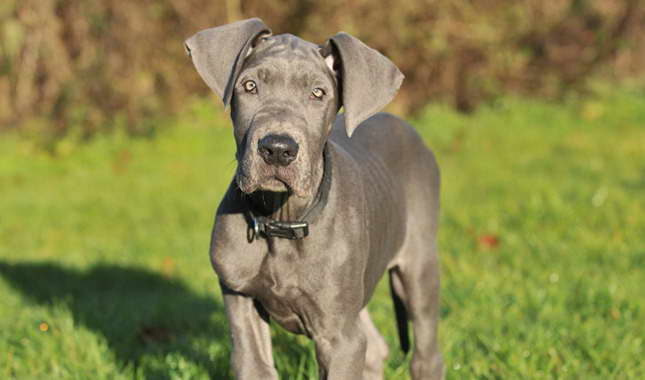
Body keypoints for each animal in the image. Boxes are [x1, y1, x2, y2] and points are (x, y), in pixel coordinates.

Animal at [184, 17, 440, 380]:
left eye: (318, 93)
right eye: (249, 86)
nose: (277, 148)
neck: (282, 220)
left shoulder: (339, 338)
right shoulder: (240, 297)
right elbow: (255, 362)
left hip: (418, 266)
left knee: (425, 353)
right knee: (375, 347)